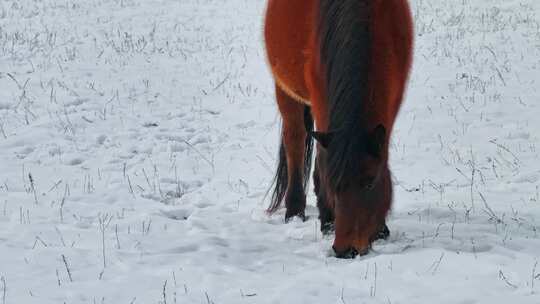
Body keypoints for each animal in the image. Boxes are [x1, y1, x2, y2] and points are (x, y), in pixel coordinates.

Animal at [264, 0, 414, 258]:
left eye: (370, 182)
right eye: (334, 184)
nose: (346, 249)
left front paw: (381, 229)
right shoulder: (322, 98)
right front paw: (327, 219)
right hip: (286, 90)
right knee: (295, 140)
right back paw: (296, 212)